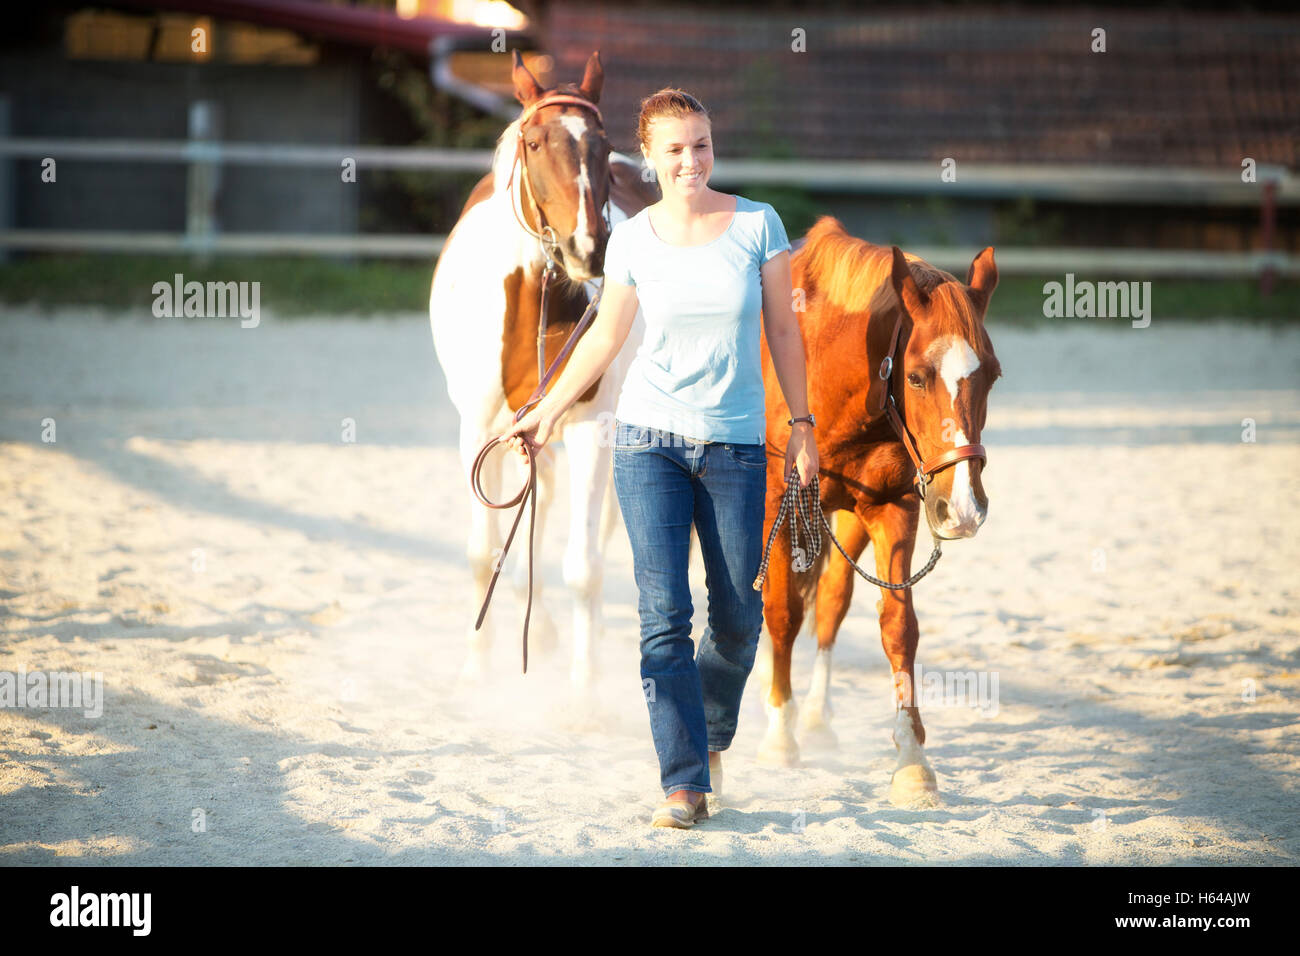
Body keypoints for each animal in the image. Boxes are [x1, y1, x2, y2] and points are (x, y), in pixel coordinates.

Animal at [434, 52, 660, 702]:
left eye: (602, 144)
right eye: (535, 143)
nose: (589, 249)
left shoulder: (591, 430)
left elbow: (583, 567)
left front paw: (583, 695)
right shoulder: (480, 430)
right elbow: (483, 551)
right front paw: (476, 668)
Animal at [754, 217, 1003, 806]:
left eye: (994, 376)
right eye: (915, 376)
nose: (963, 508)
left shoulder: (896, 509)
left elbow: (897, 627)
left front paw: (912, 760)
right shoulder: (778, 503)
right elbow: (780, 612)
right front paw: (778, 736)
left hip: (847, 518)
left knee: (831, 601)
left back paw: (817, 717)